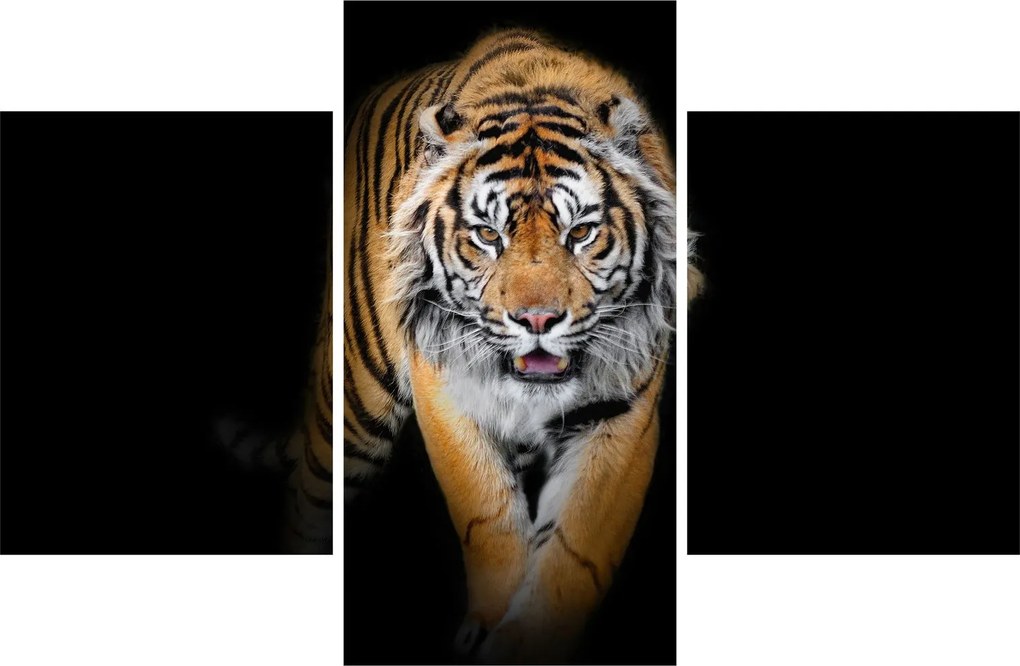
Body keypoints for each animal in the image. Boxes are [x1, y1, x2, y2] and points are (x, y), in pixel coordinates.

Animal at [344, 29, 693, 662]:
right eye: (488, 235)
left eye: (581, 232)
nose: (536, 318)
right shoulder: (445, 390)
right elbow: (488, 515)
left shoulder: (623, 413)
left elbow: (577, 546)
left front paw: (524, 640)